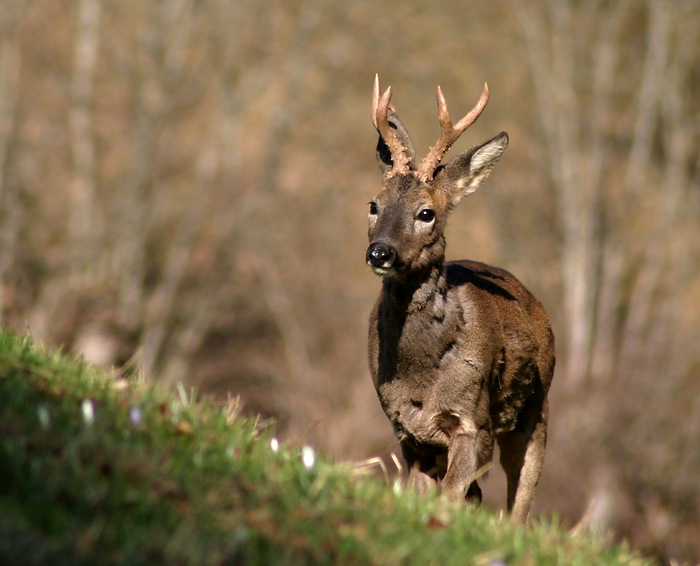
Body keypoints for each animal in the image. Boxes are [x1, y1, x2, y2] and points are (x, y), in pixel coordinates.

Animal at [366, 76, 552, 528]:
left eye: (426, 212)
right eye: (373, 205)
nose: (380, 252)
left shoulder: (473, 422)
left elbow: (453, 496)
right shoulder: (408, 432)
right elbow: (430, 496)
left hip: (536, 411)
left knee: (520, 499)